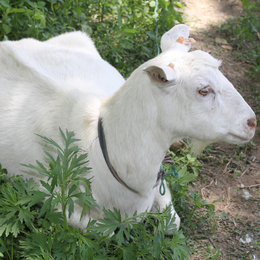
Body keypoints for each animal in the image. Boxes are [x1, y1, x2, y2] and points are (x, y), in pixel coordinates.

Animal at [0, 25, 256, 231]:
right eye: (203, 89)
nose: (252, 122)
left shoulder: (158, 180)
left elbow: (173, 224)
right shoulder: (43, 193)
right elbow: (104, 231)